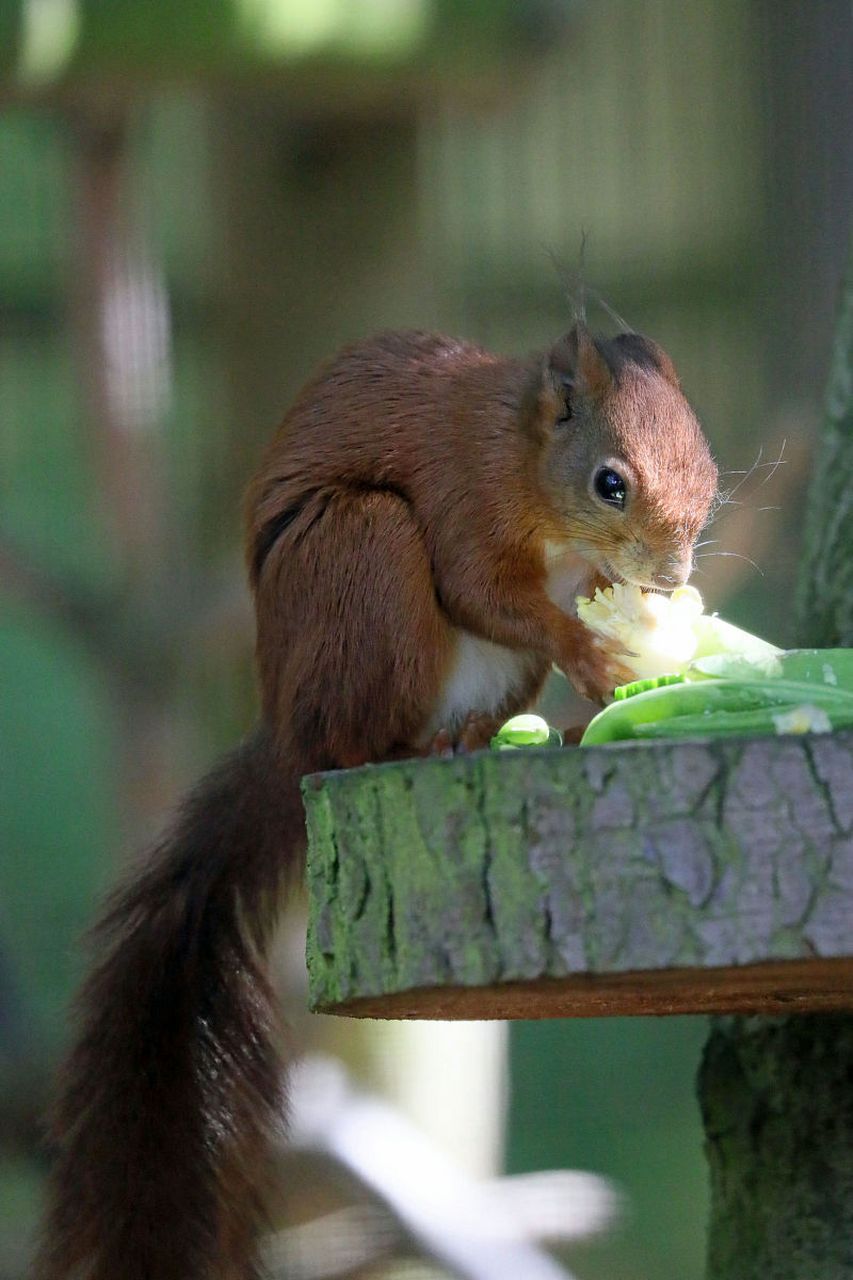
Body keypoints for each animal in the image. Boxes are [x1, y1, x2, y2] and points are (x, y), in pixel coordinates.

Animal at [36, 322, 717, 1280]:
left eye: (707, 468)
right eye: (609, 482)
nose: (669, 575)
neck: (523, 455)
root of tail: (284, 726)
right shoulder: (465, 494)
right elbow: (480, 590)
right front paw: (593, 652)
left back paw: (493, 735)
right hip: (361, 556)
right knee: (355, 735)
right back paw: (413, 745)